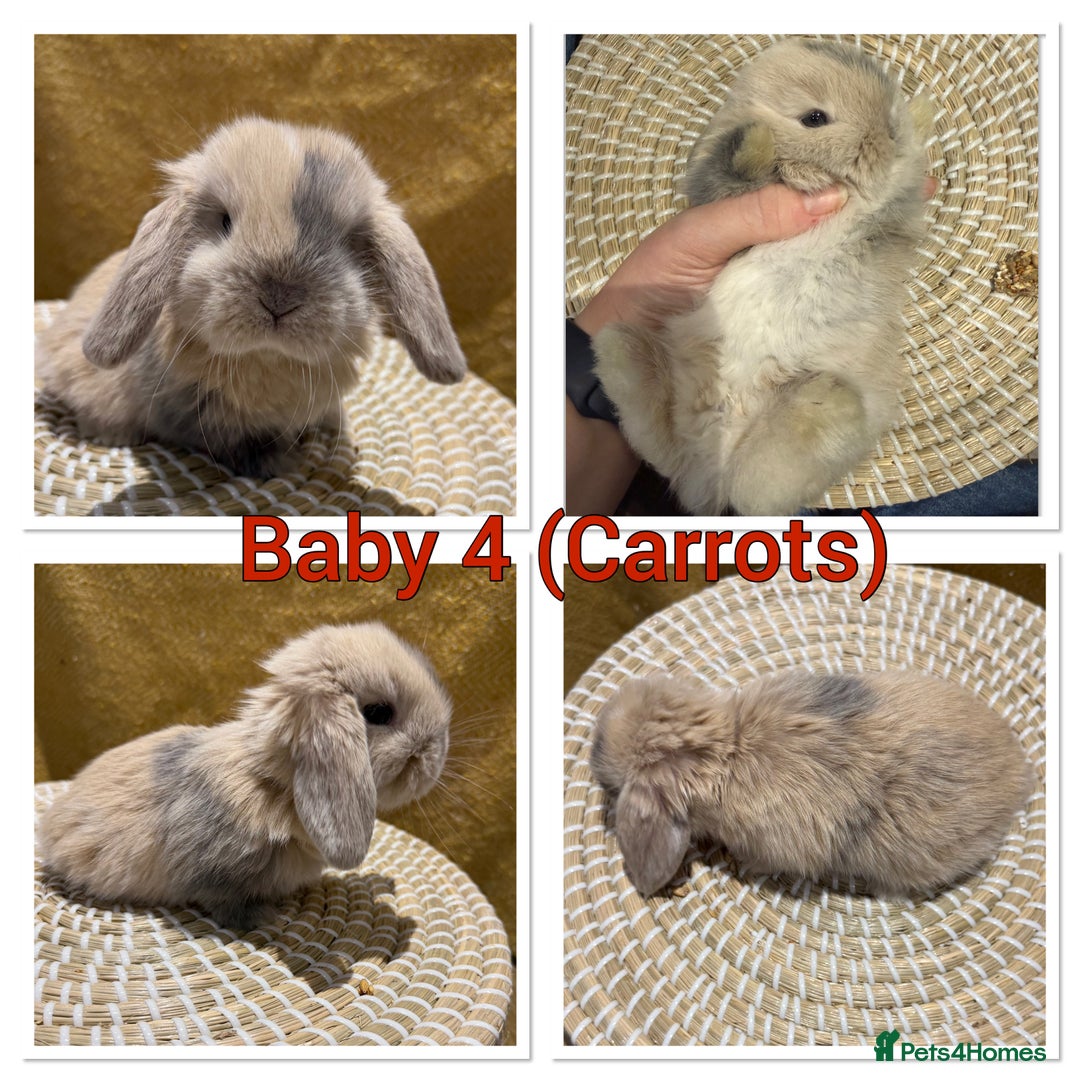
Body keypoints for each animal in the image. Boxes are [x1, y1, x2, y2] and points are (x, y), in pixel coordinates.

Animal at [35, 116, 467, 478]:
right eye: (225, 222)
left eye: (347, 242)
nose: (279, 299)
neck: (269, 357)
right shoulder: (197, 417)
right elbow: (238, 444)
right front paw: (284, 463)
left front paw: (330, 427)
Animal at [37, 622, 452, 930]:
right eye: (378, 712)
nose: (437, 754)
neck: (274, 784)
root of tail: (51, 823)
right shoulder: (215, 875)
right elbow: (227, 905)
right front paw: (267, 918)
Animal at [591, 39, 934, 515]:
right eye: (814, 118)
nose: (888, 133)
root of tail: (710, 464)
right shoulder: (719, 191)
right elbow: (734, 169)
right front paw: (757, 140)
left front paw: (918, 113)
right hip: (640, 362)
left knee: (750, 488)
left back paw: (825, 401)